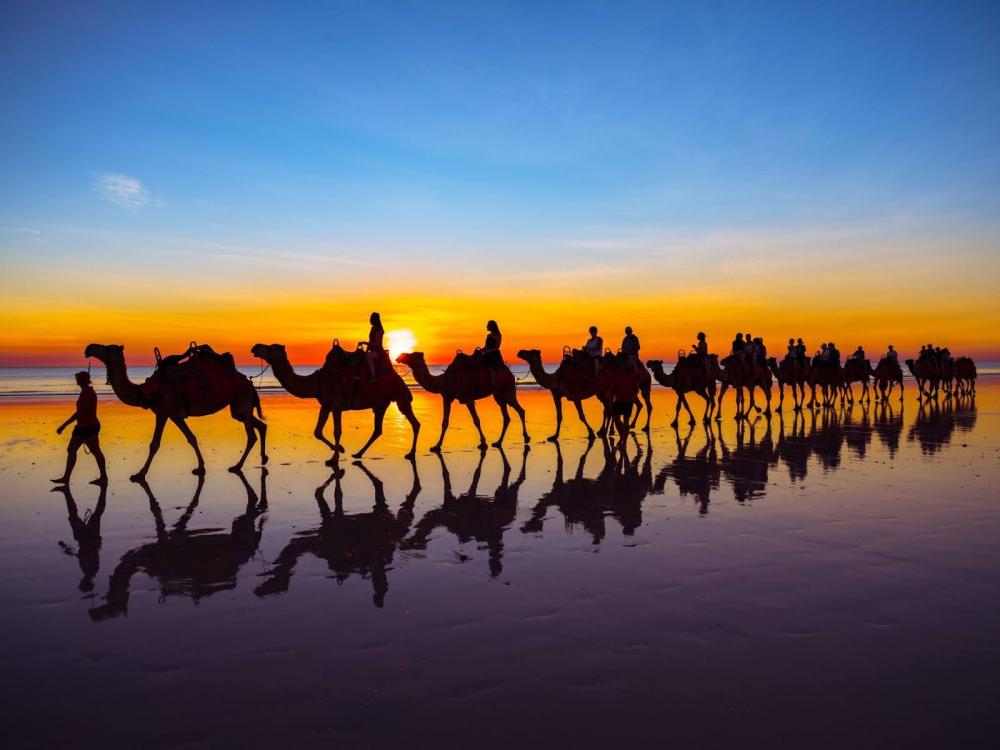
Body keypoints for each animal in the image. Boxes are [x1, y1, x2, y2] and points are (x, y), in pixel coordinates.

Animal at [85, 344, 266, 478]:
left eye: (108, 348)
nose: (89, 348)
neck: (145, 392)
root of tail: (248, 382)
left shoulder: (163, 412)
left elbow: (154, 444)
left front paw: (140, 474)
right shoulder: (174, 415)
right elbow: (191, 438)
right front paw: (200, 467)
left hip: (242, 398)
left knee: (251, 435)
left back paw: (237, 466)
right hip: (238, 407)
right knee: (259, 425)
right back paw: (262, 458)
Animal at [254, 344, 422, 462]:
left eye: (271, 347)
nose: (255, 347)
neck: (317, 381)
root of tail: (398, 376)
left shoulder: (336, 405)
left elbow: (337, 431)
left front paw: (334, 458)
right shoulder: (326, 405)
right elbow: (317, 431)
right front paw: (340, 449)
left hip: (400, 396)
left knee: (414, 422)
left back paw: (411, 454)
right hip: (382, 403)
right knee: (378, 429)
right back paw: (358, 453)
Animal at [394, 352, 528, 452]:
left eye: (411, 354)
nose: (399, 356)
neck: (443, 380)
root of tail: (510, 373)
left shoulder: (468, 398)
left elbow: (476, 420)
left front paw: (483, 443)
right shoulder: (447, 397)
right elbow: (444, 422)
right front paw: (436, 446)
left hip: (508, 390)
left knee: (520, 410)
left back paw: (526, 438)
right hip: (498, 394)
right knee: (507, 416)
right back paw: (498, 442)